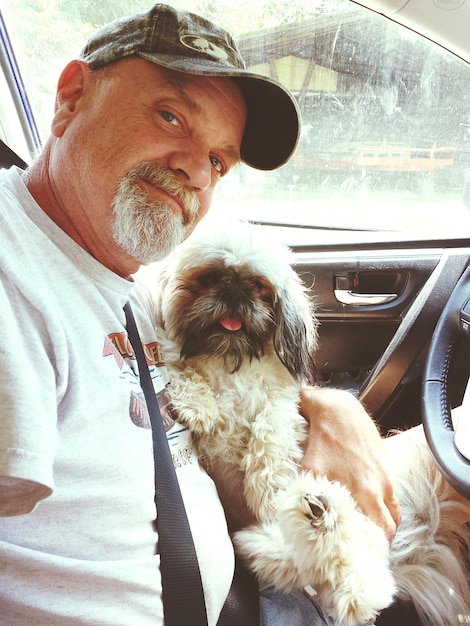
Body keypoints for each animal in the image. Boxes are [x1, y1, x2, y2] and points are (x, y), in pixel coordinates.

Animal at [148, 219, 470, 624]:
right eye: (207, 278)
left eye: (258, 286)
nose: (234, 293)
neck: (228, 357)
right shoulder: (181, 363)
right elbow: (179, 372)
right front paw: (198, 405)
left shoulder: (281, 403)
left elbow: (268, 434)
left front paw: (267, 488)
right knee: (321, 569)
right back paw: (312, 523)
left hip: (360, 528)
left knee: (358, 572)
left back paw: (322, 519)